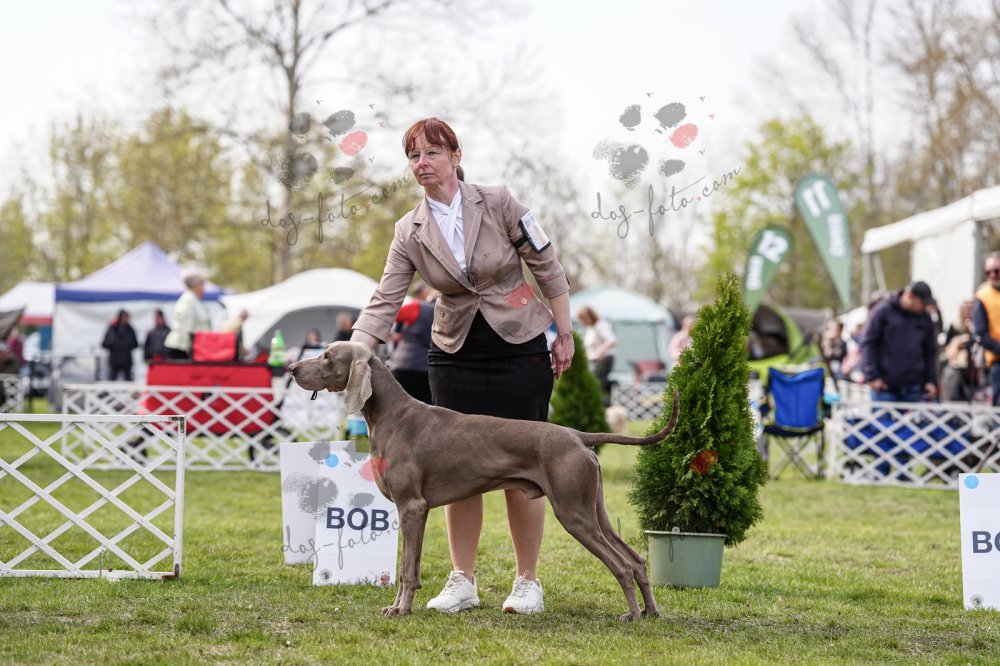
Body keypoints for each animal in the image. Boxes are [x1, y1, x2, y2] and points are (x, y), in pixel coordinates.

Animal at [289, 341, 679, 622]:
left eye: (327, 355)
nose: (292, 368)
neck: (392, 415)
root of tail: (576, 435)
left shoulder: (412, 507)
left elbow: (405, 569)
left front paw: (400, 610)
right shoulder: (416, 511)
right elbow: (410, 567)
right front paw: (400, 605)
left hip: (574, 513)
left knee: (621, 565)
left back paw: (632, 615)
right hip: (594, 508)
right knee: (636, 560)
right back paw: (651, 611)